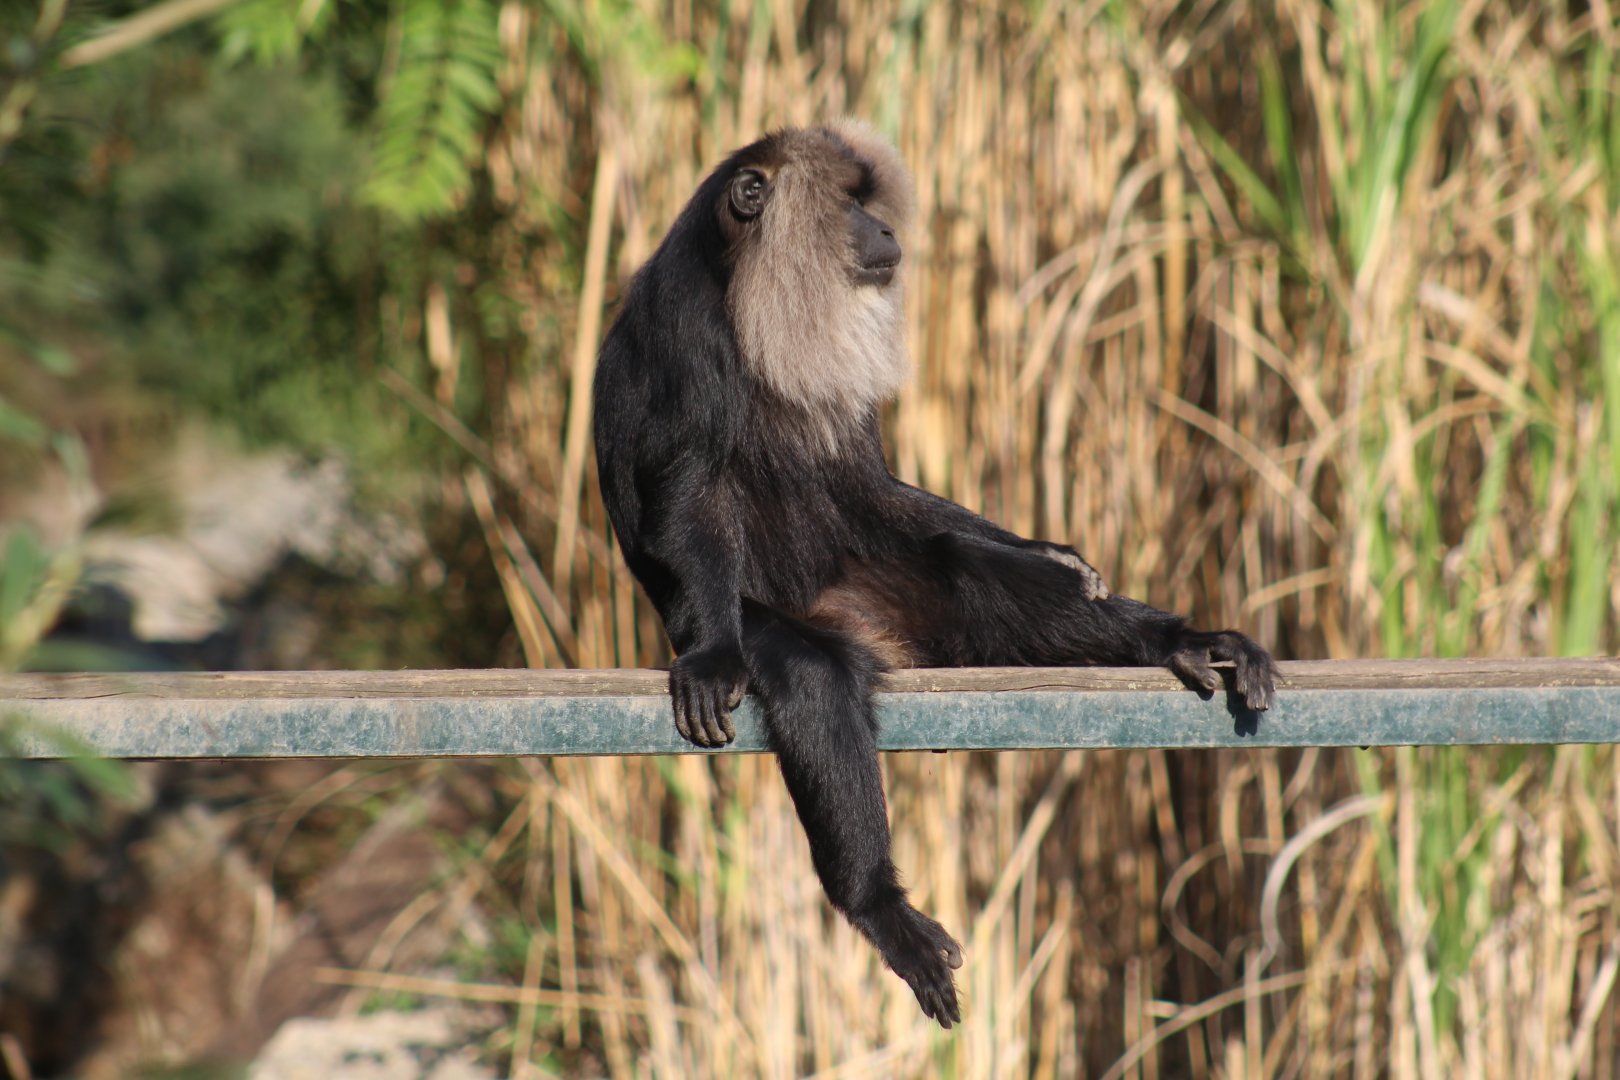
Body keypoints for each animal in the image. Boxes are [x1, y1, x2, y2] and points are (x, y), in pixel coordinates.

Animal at [592, 121, 1277, 1029]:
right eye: (850, 207)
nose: (884, 232)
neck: (743, 276)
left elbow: (872, 487)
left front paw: (1056, 554)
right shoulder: (690, 329)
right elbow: (687, 495)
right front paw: (708, 656)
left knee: (965, 567)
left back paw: (1181, 641)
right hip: (774, 615)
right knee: (813, 674)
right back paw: (878, 906)